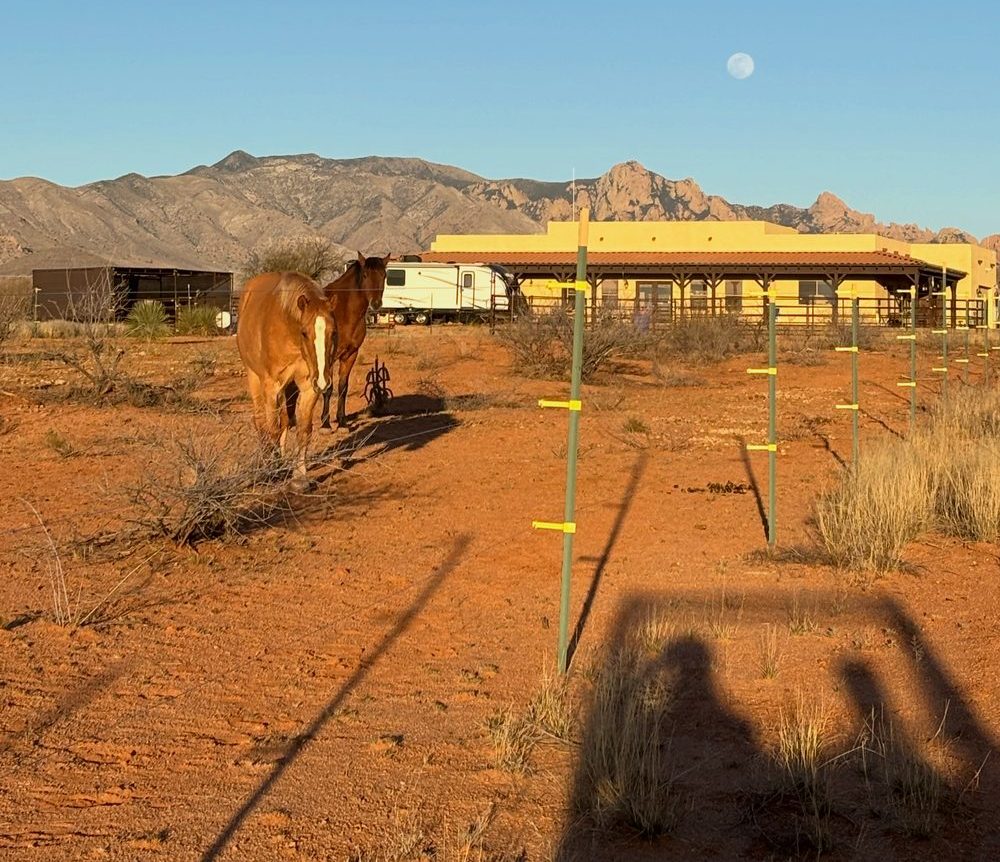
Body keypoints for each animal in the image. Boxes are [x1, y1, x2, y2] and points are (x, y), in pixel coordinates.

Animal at [236, 271, 335, 482]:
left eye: (333, 332)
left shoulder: (308, 386)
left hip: (290, 388)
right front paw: (272, 469)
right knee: (261, 421)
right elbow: (272, 429)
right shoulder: (272, 387)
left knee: (285, 420)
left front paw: (299, 476)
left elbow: (303, 429)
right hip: (254, 377)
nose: (324, 381)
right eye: (304, 333)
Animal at [321, 252, 390, 427]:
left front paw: (342, 420)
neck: (342, 311)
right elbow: (328, 388)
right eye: (365, 275)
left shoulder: (350, 354)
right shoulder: (328, 357)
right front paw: (325, 423)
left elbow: (343, 387)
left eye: (384, 275)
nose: (376, 303)